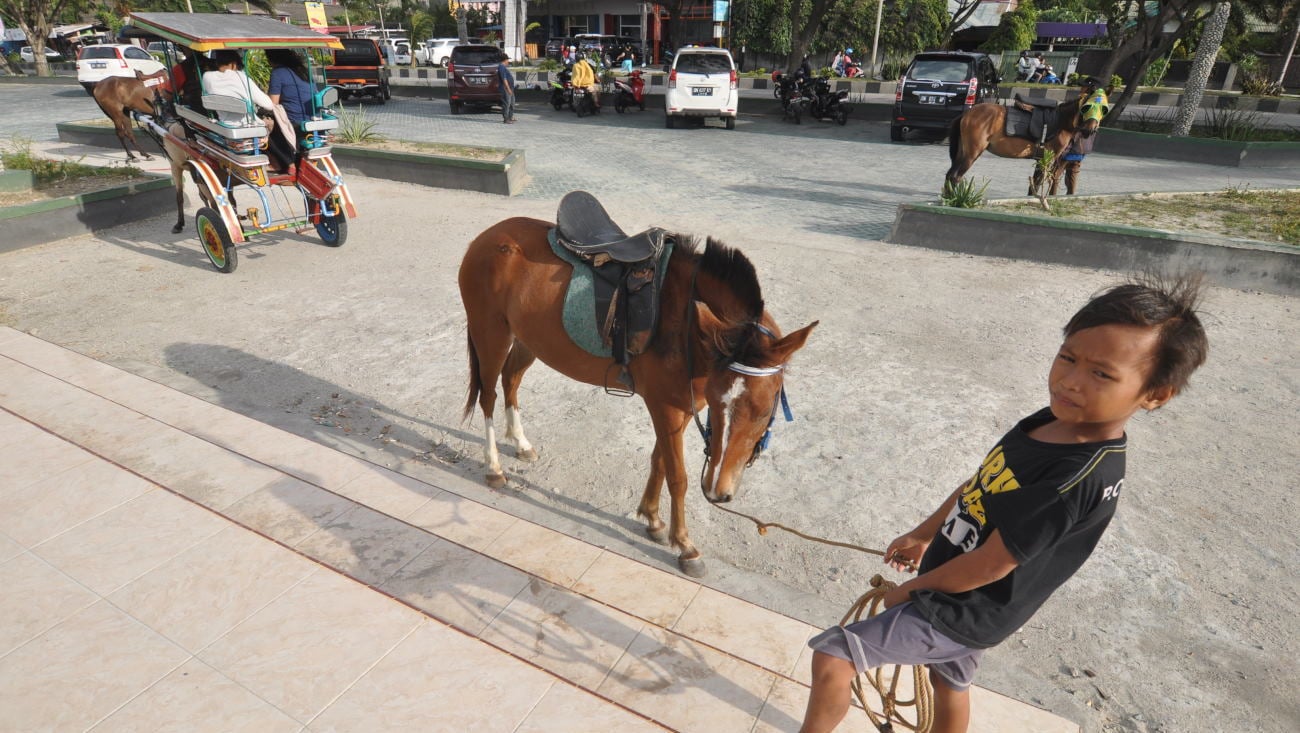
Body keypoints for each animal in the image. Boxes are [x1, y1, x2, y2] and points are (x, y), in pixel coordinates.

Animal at [462, 211, 816, 579]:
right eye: (723, 407)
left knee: (511, 381)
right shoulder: (666, 406)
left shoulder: (680, 406)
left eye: (763, 411)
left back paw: (521, 443)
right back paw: (494, 468)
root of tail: (488, 236)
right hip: (491, 334)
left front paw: (653, 519)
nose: (718, 492)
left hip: (528, 339)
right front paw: (685, 545)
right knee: (488, 395)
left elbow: (659, 460)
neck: (685, 322)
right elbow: (678, 476)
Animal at [946, 87, 1107, 192]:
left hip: (963, 151)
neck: (1061, 121)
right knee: (955, 177)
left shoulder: (1041, 159)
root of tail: (968, 113)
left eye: (1103, 109)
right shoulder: (1048, 158)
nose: (1090, 130)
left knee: (949, 175)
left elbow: (1034, 185)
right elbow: (1038, 183)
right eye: (1087, 107)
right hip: (972, 153)